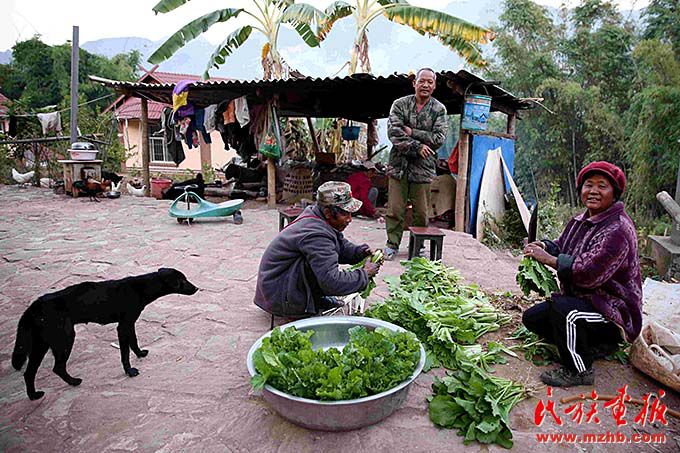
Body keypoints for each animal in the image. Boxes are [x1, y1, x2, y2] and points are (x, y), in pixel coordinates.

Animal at [12, 268, 198, 400]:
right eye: (183, 280)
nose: (197, 288)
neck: (140, 287)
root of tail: (35, 305)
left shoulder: (129, 324)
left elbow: (134, 342)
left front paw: (140, 354)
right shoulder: (123, 326)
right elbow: (124, 353)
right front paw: (129, 371)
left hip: (42, 344)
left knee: (29, 373)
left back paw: (33, 396)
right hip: (64, 338)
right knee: (57, 367)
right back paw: (74, 382)